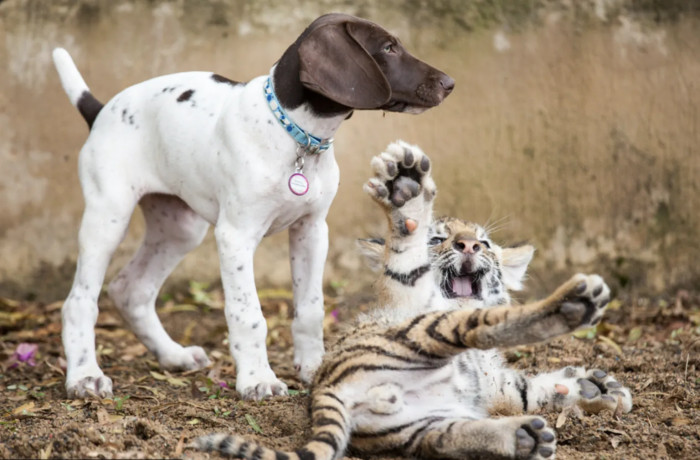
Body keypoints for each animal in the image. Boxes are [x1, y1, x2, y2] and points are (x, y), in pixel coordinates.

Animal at [53, 13, 454, 402]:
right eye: (387, 48)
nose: (449, 82)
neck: (295, 135)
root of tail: (101, 110)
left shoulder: (312, 230)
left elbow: (311, 308)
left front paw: (314, 368)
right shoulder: (236, 237)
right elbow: (249, 315)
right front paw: (258, 379)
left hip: (179, 229)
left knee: (131, 289)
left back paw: (173, 355)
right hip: (108, 217)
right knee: (80, 301)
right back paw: (85, 376)